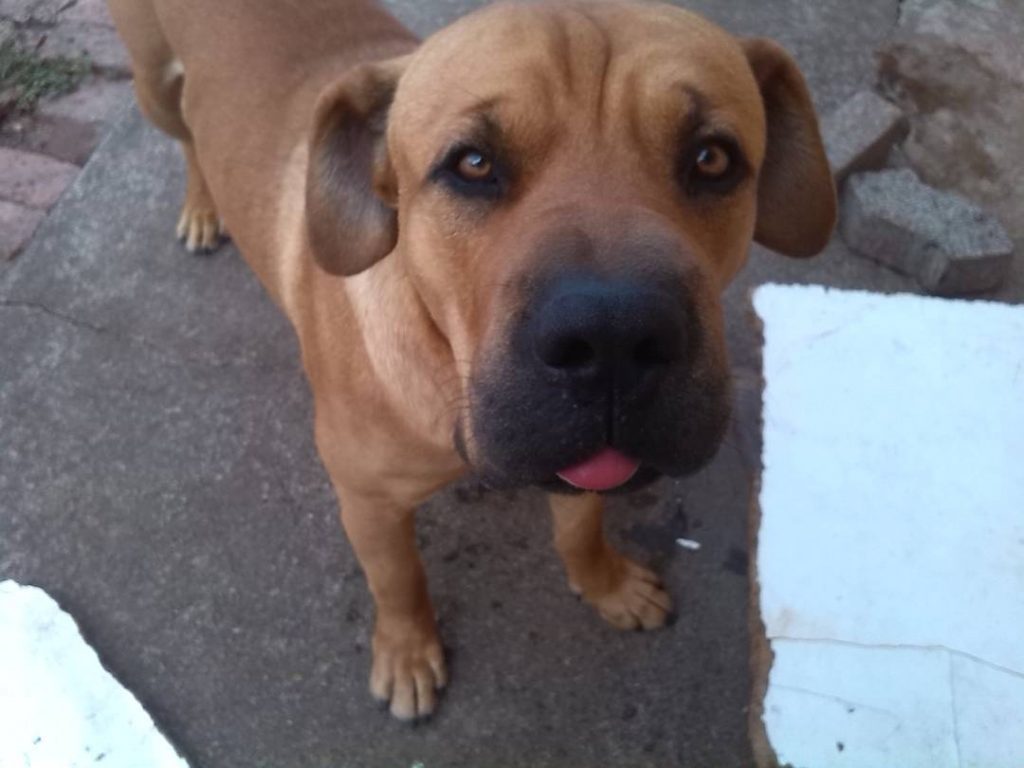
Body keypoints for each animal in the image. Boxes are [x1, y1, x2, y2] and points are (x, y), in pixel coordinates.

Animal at [108, 0, 835, 720]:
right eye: (474, 164)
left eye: (712, 159)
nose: (614, 342)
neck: (446, 367)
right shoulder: (368, 502)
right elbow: (398, 579)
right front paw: (407, 653)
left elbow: (579, 528)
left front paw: (605, 584)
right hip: (153, 87)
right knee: (186, 138)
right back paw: (202, 207)